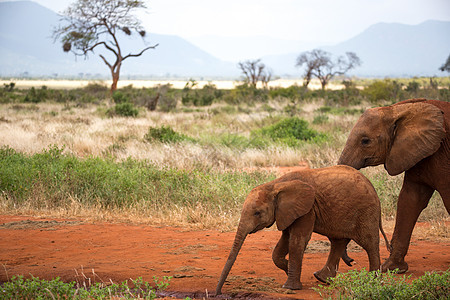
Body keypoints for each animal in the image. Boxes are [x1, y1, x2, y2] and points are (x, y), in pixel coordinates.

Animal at [216, 164, 388, 292]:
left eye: (257, 213)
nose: (218, 293)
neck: (275, 185)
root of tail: (373, 188)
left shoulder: (307, 209)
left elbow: (297, 240)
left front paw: (290, 287)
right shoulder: (287, 212)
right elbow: (283, 243)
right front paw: (286, 268)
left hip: (366, 211)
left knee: (369, 243)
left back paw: (373, 281)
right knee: (338, 242)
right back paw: (322, 279)